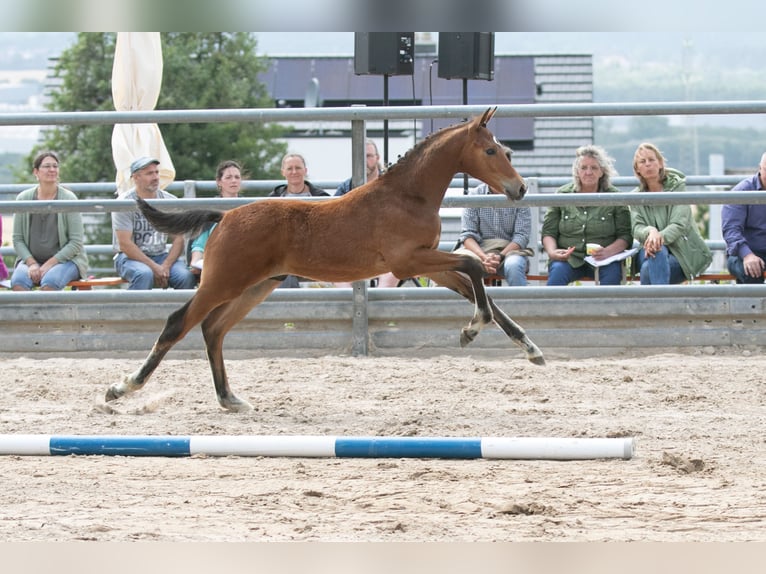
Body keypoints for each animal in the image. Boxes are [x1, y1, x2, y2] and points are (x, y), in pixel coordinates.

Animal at [106, 107, 544, 414]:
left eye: (505, 149)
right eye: (490, 150)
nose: (520, 188)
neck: (407, 195)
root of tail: (225, 216)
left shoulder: (425, 266)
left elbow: (476, 287)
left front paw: (529, 348)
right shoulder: (408, 263)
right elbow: (474, 269)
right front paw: (471, 330)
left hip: (257, 285)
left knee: (213, 329)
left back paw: (230, 399)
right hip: (224, 281)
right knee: (178, 322)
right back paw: (122, 387)